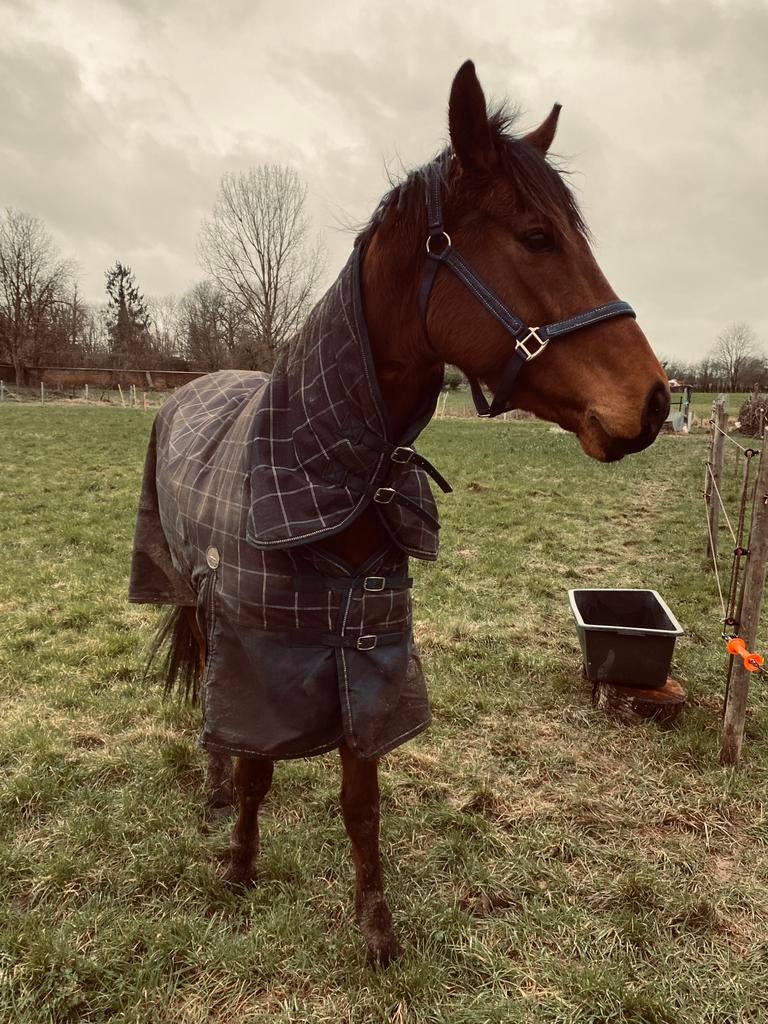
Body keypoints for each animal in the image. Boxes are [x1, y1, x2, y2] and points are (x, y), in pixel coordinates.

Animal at [130, 60, 669, 966]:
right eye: (536, 237)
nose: (657, 402)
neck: (332, 477)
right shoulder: (262, 653)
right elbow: (258, 766)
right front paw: (239, 867)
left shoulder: (368, 652)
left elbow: (362, 798)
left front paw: (375, 925)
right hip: (193, 595)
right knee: (207, 692)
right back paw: (210, 787)